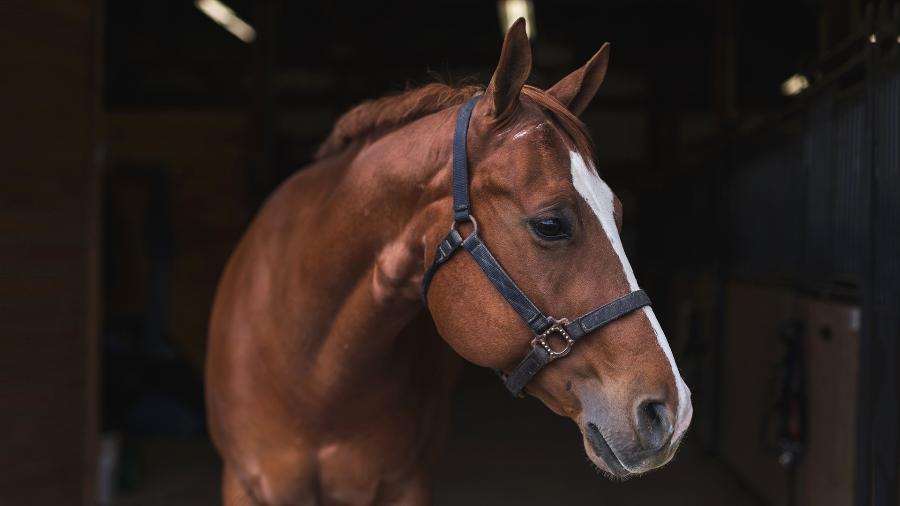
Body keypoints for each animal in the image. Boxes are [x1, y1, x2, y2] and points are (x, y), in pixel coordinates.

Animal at [207, 19, 692, 506]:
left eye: (618, 213)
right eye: (550, 224)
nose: (671, 412)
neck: (316, 378)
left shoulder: (408, 485)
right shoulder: (244, 485)